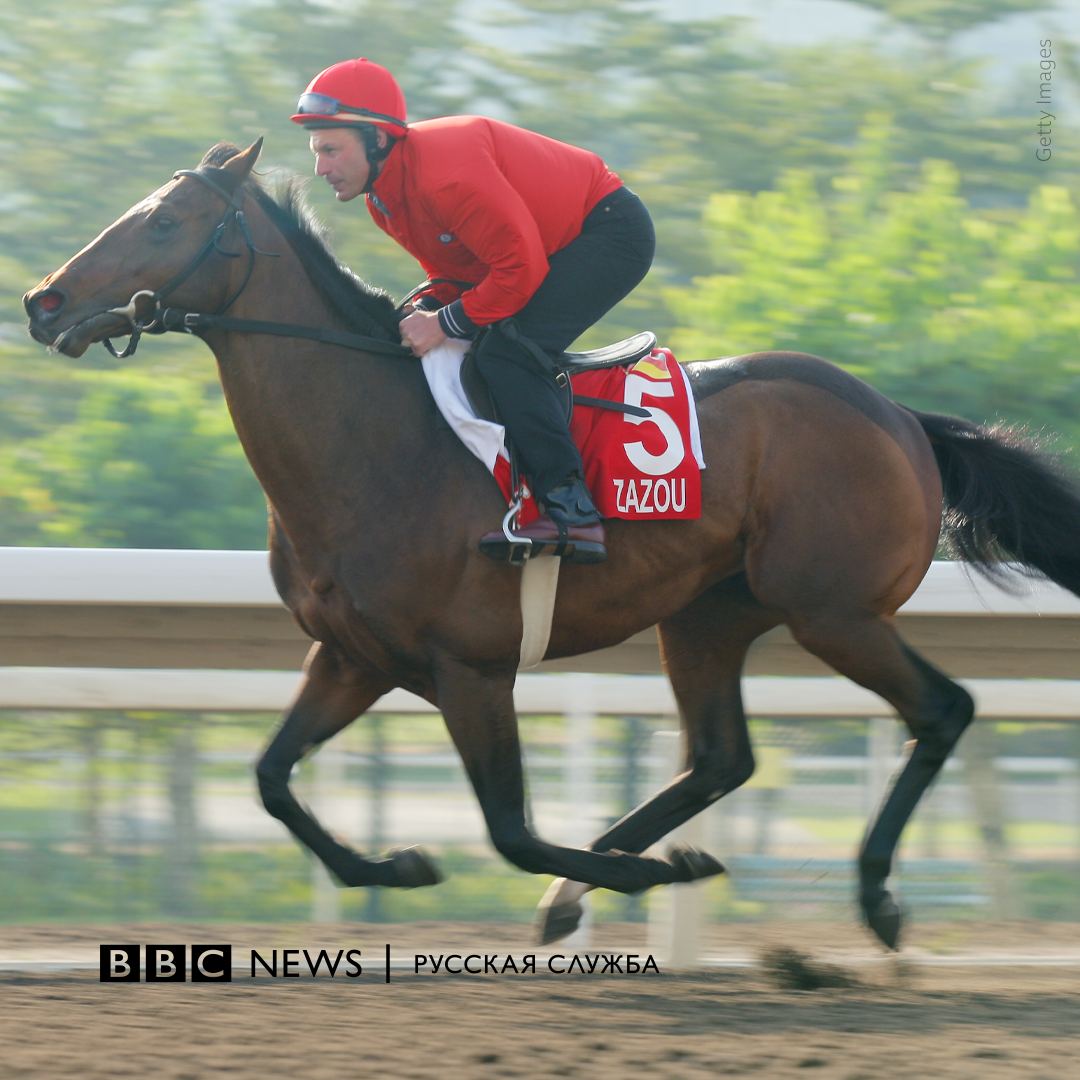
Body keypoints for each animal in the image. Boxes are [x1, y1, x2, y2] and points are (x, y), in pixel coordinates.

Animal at [21, 137, 1080, 954]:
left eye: (165, 222)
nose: (42, 301)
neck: (373, 445)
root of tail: (903, 417)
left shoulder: (473, 667)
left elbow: (511, 830)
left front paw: (643, 877)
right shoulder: (355, 656)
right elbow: (273, 779)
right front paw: (398, 862)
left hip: (834, 610)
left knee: (941, 711)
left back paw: (871, 897)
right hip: (708, 616)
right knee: (721, 759)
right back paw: (603, 879)